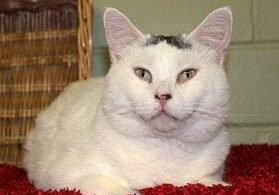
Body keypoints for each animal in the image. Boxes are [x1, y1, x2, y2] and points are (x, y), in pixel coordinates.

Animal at [23, 6, 234, 195]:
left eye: (187, 74)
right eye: (142, 73)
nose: (162, 95)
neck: (163, 148)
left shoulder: (212, 171)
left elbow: (210, 182)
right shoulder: (65, 177)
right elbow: (114, 188)